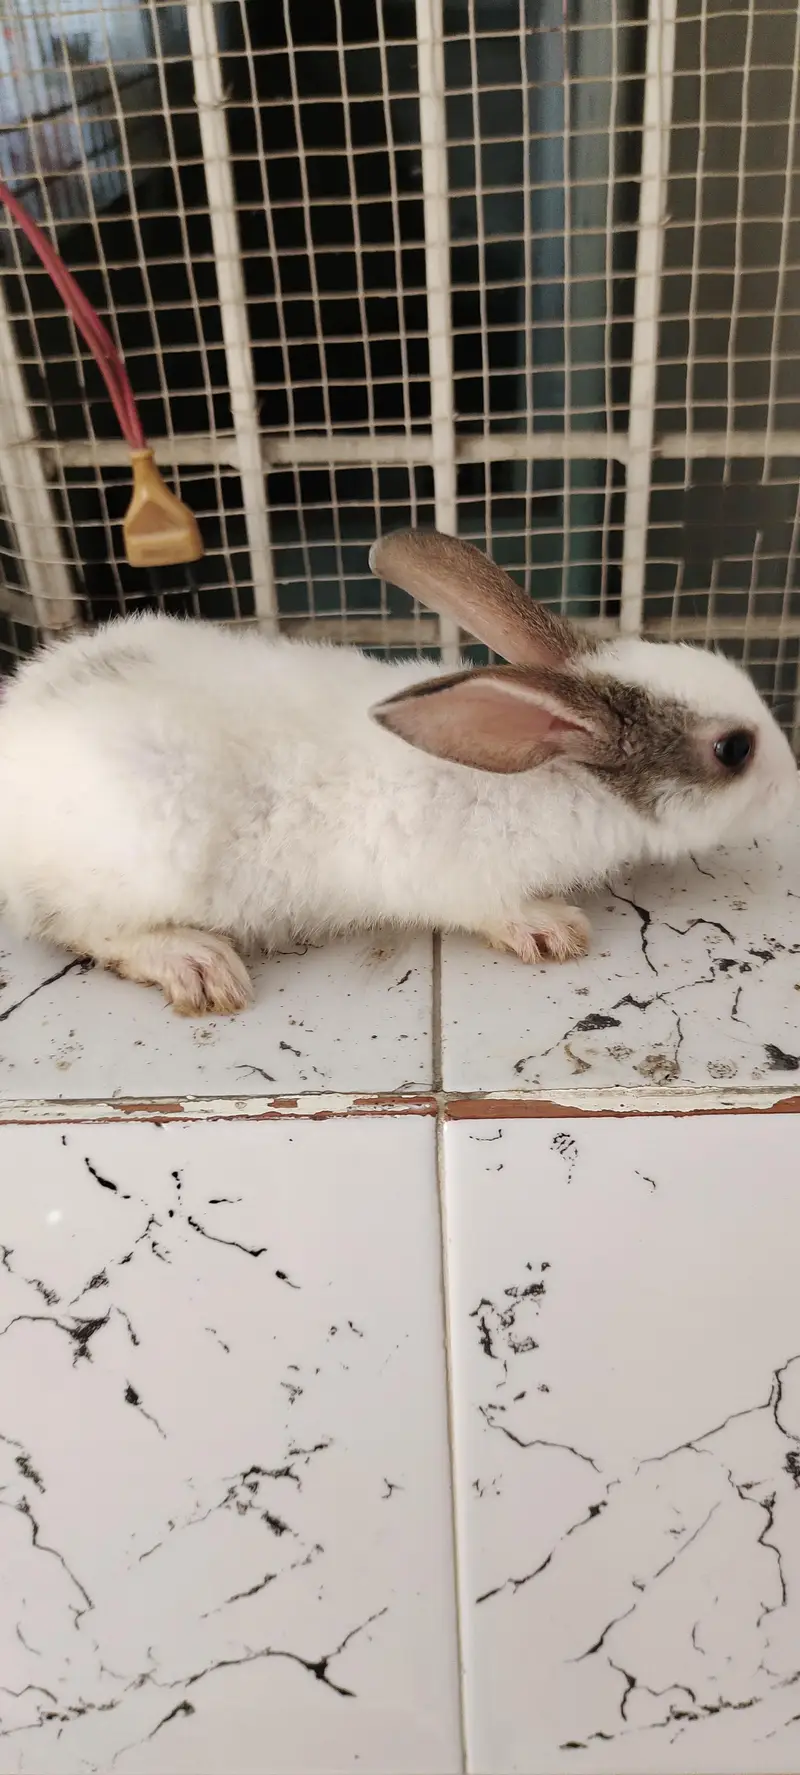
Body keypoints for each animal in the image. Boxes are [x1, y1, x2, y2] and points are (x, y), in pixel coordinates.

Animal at [0, 528, 796, 1016]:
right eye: (733, 750)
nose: (792, 781)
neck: (551, 770)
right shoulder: (454, 879)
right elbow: (490, 908)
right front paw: (552, 929)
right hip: (140, 867)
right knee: (86, 929)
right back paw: (196, 962)